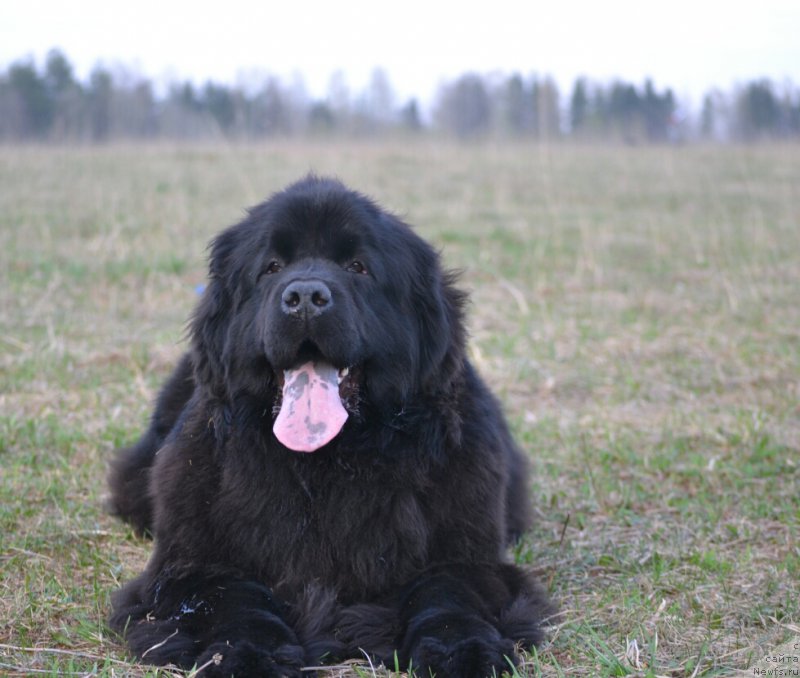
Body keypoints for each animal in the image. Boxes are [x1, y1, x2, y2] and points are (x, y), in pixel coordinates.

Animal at [108, 177, 552, 678]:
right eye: (272, 267)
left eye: (358, 267)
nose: (304, 297)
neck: (325, 464)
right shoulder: (192, 565)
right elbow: (234, 600)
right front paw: (248, 654)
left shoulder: (465, 555)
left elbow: (448, 595)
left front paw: (465, 650)